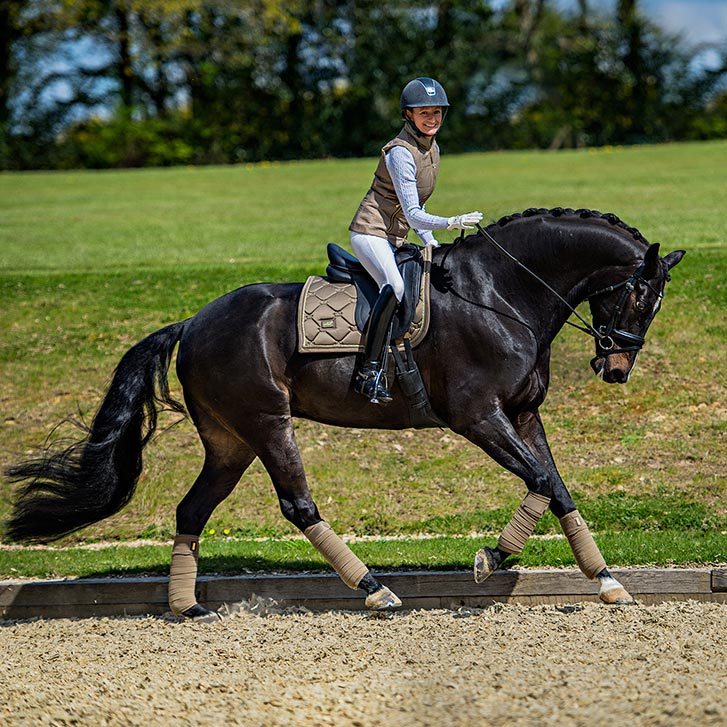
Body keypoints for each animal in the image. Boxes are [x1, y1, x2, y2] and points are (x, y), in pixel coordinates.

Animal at [5, 206, 684, 620]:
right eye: (639, 296)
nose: (616, 369)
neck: (499, 294)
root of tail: (193, 322)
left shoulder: (520, 416)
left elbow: (557, 488)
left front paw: (607, 580)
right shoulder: (477, 417)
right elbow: (540, 479)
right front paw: (491, 559)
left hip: (230, 441)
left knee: (192, 509)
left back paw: (185, 605)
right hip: (266, 425)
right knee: (297, 504)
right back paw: (374, 589)